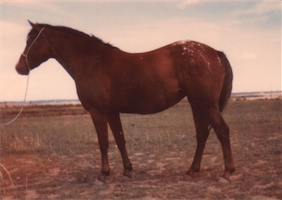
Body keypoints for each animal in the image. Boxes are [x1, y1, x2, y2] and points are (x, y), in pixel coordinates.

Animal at [16, 21, 236, 182]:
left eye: (30, 41)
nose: (19, 68)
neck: (92, 62)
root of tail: (214, 52)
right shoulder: (112, 112)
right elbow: (120, 139)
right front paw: (127, 170)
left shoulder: (97, 112)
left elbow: (103, 142)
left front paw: (103, 174)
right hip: (197, 103)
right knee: (202, 134)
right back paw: (193, 170)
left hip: (206, 104)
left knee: (222, 131)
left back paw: (227, 172)